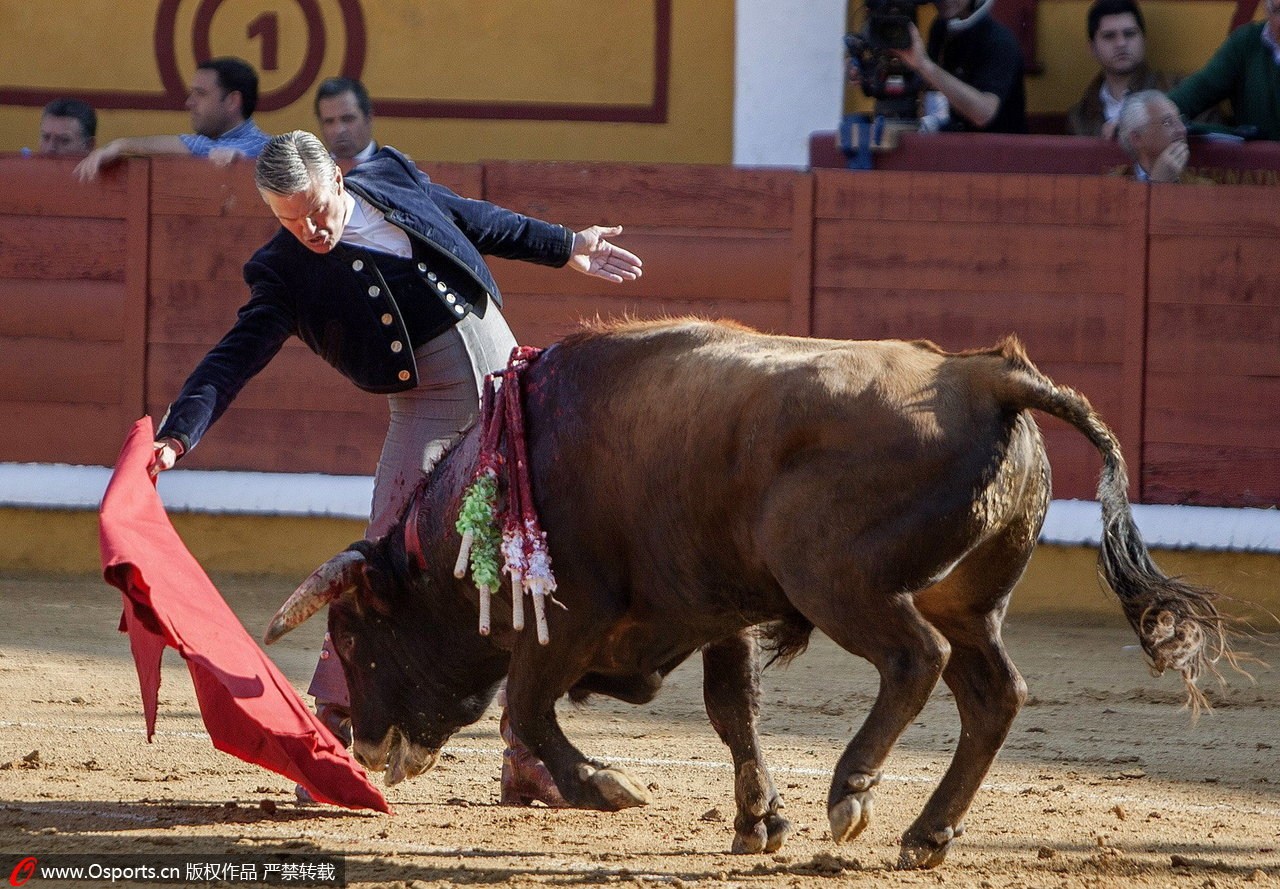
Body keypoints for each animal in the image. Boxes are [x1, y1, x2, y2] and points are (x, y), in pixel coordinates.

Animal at [267, 319, 1228, 869]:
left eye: (353, 636)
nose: (361, 740)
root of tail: (986, 375)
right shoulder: (712, 608)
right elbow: (733, 708)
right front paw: (758, 817)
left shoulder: (566, 620)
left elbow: (528, 710)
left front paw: (605, 786)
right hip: (965, 598)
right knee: (994, 690)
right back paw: (926, 833)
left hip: (841, 580)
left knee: (915, 660)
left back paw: (853, 790)